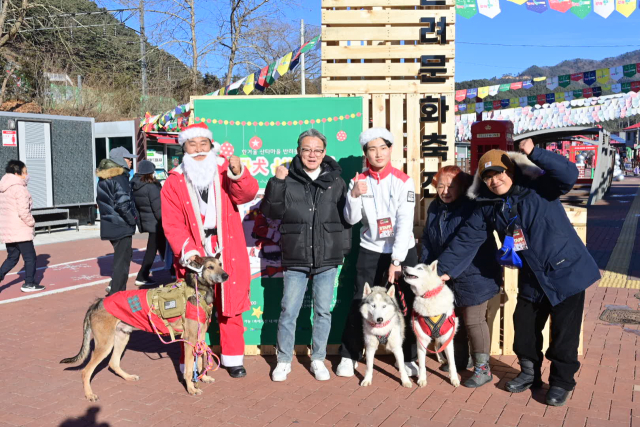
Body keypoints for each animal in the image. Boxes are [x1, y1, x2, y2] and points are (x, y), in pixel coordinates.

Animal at [60, 256, 229, 402]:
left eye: (220, 264)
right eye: (210, 267)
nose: (226, 275)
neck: (198, 289)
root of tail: (97, 303)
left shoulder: (199, 338)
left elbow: (200, 361)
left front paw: (203, 378)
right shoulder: (189, 340)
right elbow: (188, 369)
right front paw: (192, 388)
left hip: (122, 337)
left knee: (113, 363)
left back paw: (128, 377)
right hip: (105, 345)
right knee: (85, 371)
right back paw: (89, 394)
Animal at [404, 260, 460, 388]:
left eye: (420, 268)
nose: (403, 266)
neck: (429, 296)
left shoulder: (448, 338)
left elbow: (453, 363)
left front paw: (454, 379)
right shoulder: (421, 340)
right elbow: (422, 365)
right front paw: (422, 379)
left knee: (437, 346)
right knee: (435, 346)